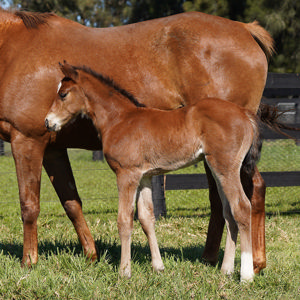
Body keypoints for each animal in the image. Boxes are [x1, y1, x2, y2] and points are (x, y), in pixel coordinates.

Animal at [44, 63, 260, 282]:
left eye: (63, 94)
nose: (48, 122)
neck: (119, 119)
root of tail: (245, 114)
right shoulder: (144, 177)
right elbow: (147, 218)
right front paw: (158, 266)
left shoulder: (126, 174)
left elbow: (124, 220)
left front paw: (124, 271)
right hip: (218, 171)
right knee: (229, 212)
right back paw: (226, 269)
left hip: (226, 168)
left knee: (242, 208)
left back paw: (246, 275)